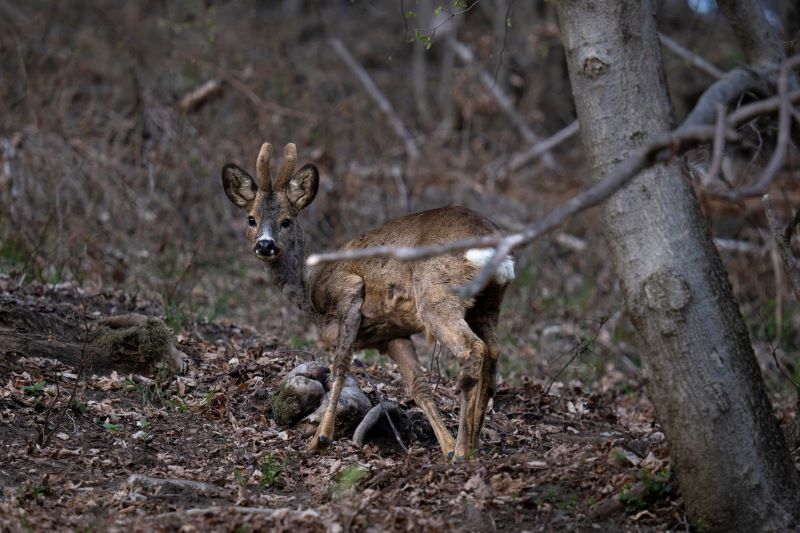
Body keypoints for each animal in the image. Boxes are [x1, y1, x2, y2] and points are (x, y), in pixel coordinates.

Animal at [222, 142, 516, 458]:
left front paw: (321, 438)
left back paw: (464, 449)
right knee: (493, 352)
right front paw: (445, 446)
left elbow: (340, 366)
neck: (309, 285)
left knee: (472, 349)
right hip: (488, 304)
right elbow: (419, 387)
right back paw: (470, 446)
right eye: (251, 219)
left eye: (286, 221)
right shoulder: (392, 336)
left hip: (436, 295)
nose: (265, 245)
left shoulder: (349, 291)